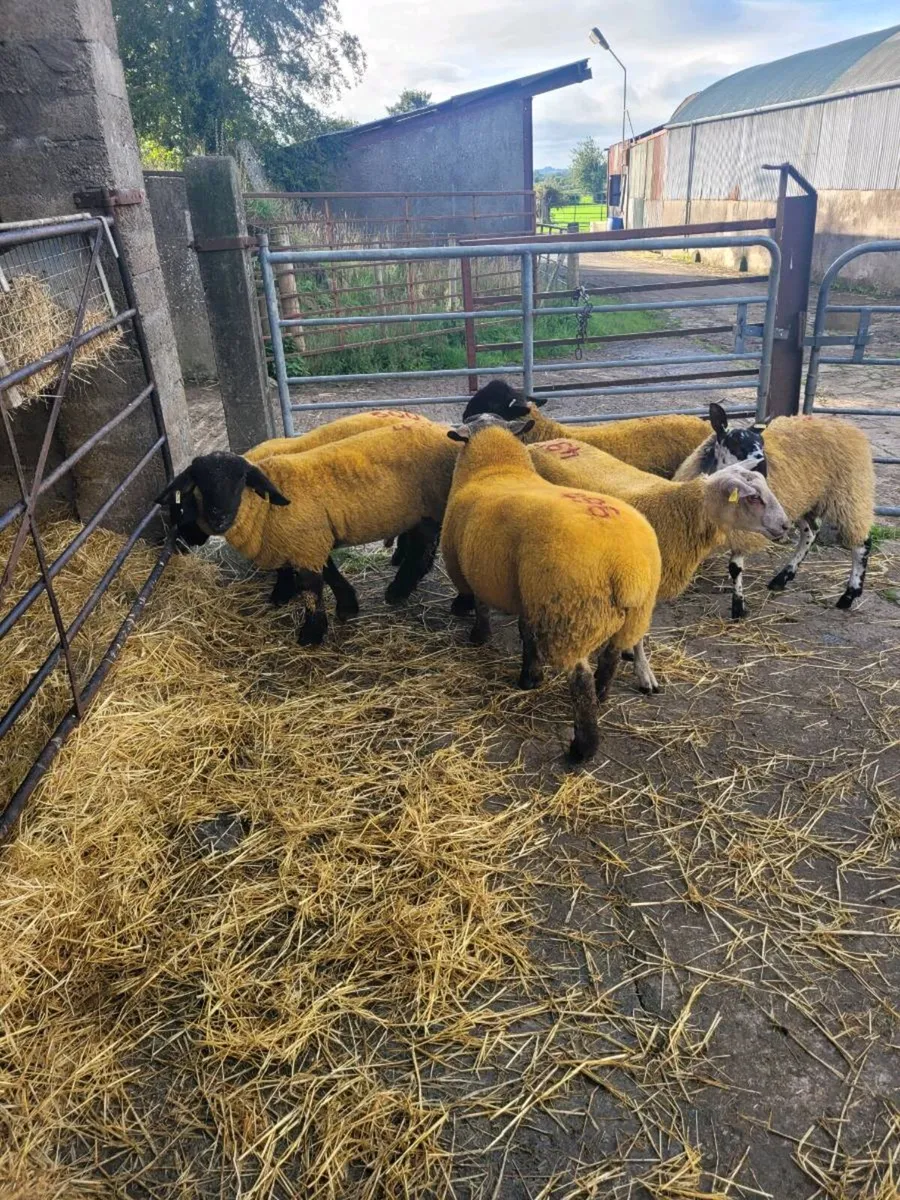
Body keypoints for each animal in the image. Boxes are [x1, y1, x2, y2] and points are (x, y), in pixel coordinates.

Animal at [158, 421, 459, 644]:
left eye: (241, 479)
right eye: (198, 483)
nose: (218, 517)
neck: (265, 508)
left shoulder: (305, 543)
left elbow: (312, 589)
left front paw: (311, 633)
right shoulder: (311, 540)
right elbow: (329, 572)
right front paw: (347, 606)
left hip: (430, 507)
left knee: (423, 549)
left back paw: (398, 590)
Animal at [440, 413, 662, 763]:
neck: (497, 469)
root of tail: (628, 567)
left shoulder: (472, 570)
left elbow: (481, 608)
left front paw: (480, 638)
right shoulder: (529, 595)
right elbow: (526, 632)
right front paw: (530, 675)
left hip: (572, 614)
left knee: (580, 681)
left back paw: (582, 749)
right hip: (628, 614)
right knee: (611, 657)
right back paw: (602, 696)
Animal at [529, 437, 790, 690]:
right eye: (754, 497)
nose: (786, 525)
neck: (680, 510)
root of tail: (542, 442)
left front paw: (627, 652)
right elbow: (641, 633)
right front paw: (644, 674)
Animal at [675, 403, 876, 617]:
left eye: (762, 444)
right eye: (735, 443)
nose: (762, 468)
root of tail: (847, 427)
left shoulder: (744, 531)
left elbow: (735, 568)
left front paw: (738, 607)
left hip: (848, 496)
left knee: (862, 543)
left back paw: (849, 595)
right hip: (804, 500)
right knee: (810, 533)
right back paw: (782, 578)